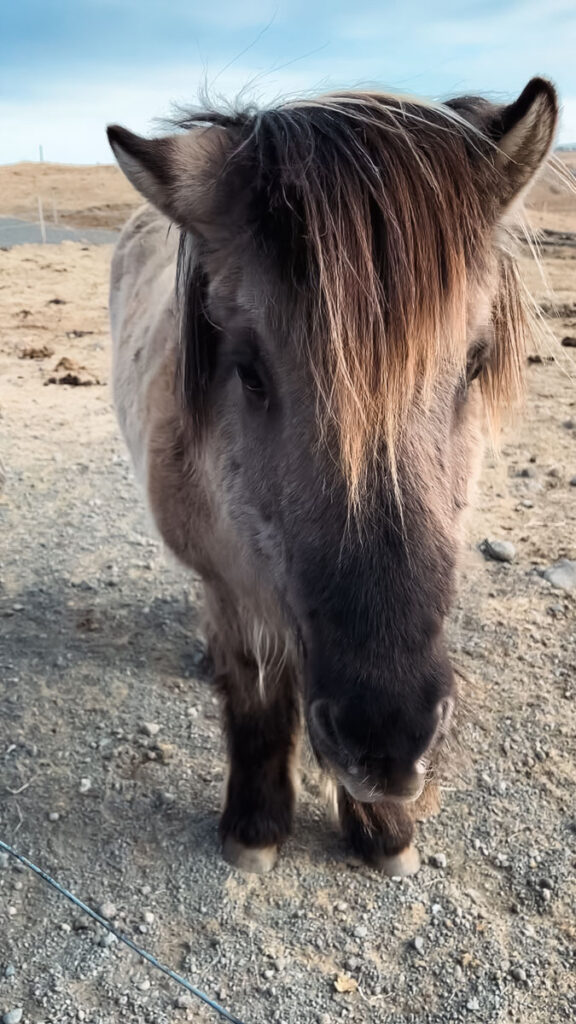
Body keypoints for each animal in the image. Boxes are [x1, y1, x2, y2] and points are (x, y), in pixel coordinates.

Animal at [107, 77, 557, 875]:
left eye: (474, 363)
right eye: (248, 369)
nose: (386, 740)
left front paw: (382, 826)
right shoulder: (234, 588)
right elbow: (257, 695)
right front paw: (255, 826)